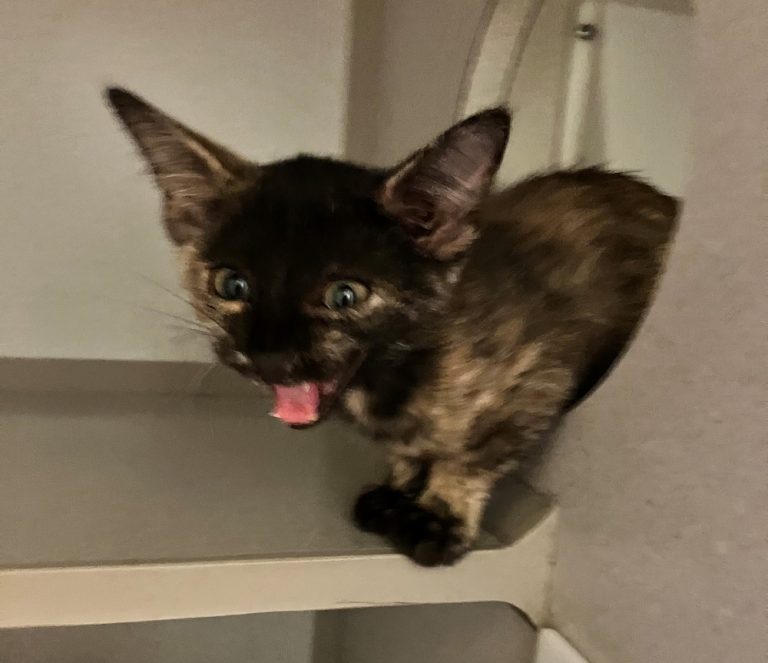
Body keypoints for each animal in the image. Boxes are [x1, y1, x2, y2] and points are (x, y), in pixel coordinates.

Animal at [107, 87, 678, 566]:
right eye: (231, 285)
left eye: (345, 295)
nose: (268, 355)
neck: (392, 383)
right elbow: (410, 452)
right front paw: (400, 487)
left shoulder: (541, 372)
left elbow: (472, 455)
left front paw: (436, 514)